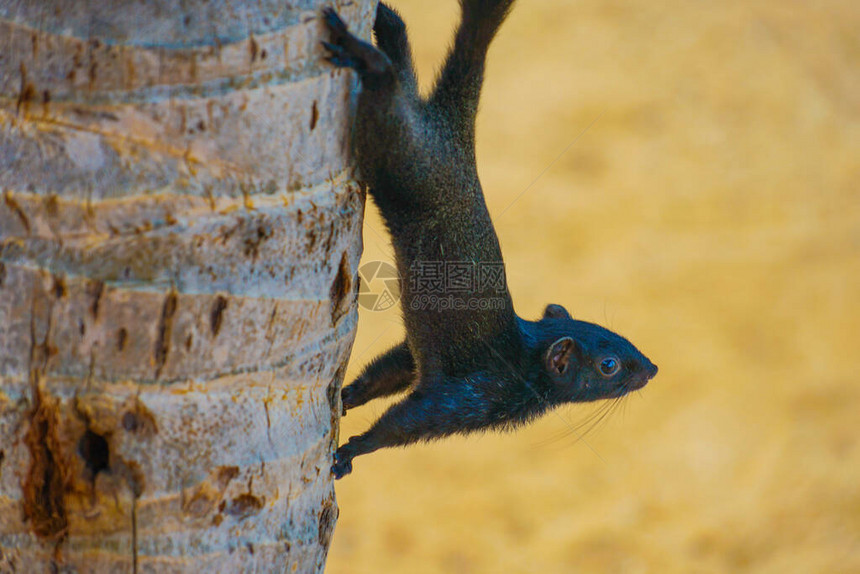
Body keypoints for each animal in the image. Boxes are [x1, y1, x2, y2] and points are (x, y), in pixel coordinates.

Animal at [322, 1, 660, 482]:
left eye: (617, 332)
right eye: (609, 366)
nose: (651, 369)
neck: (525, 357)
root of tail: (451, 128)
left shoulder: (416, 359)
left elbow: (388, 372)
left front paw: (347, 396)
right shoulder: (474, 396)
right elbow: (402, 424)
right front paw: (351, 452)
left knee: (401, 52)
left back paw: (381, 23)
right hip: (400, 154)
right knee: (385, 84)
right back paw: (360, 53)